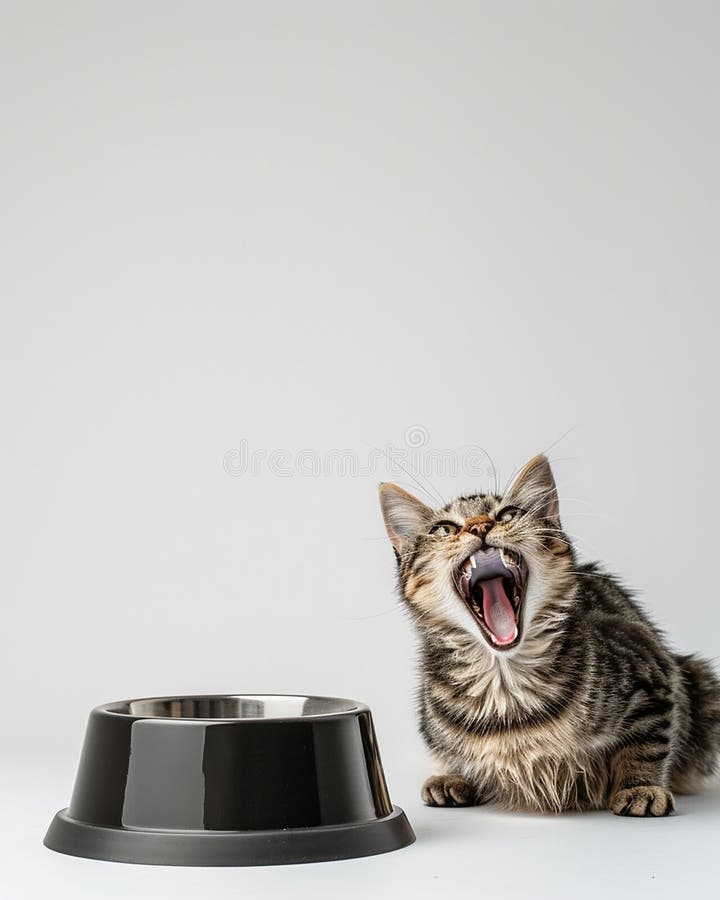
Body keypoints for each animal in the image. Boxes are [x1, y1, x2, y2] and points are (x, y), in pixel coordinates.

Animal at [380, 458, 716, 816]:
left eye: (507, 514)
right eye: (444, 529)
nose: (479, 526)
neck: (504, 681)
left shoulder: (651, 674)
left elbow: (647, 743)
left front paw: (640, 786)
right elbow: (448, 748)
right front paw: (455, 775)